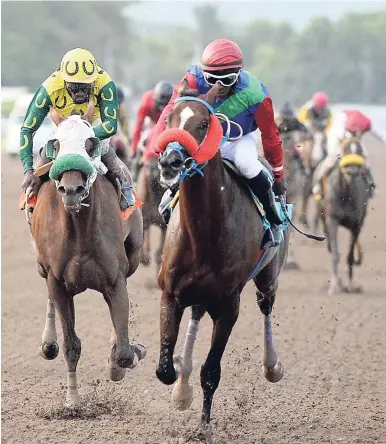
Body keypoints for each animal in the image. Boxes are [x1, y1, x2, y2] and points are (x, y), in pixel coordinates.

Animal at [29, 108, 146, 406]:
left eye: (90, 144)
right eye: (56, 145)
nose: (72, 190)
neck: (79, 231)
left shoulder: (115, 280)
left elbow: (124, 351)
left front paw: (124, 358)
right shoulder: (58, 283)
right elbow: (71, 344)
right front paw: (72, 401)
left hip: (134, 254)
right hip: (40, 264)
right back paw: (48, 343)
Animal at [154, 85, 290, 424]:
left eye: (204, 123)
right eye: (169, 119)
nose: (170, 162)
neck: (205, 231)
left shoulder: (229, 305)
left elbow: (211, 373)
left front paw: (203, 426)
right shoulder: (170, 294)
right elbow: (165, 369)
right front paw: (181, 387)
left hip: (267, 278)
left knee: (266, 306)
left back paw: (272, 366)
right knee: (196, 314)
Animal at [318, 139, 370, 294]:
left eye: (359, 151)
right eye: (345, 150)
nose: (352, 172)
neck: (345, 194)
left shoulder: (357, 224)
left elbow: (350, 256)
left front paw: (352, 285)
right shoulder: (332, 220)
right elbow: (335, 254)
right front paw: (335, 286)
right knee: (330, 246)